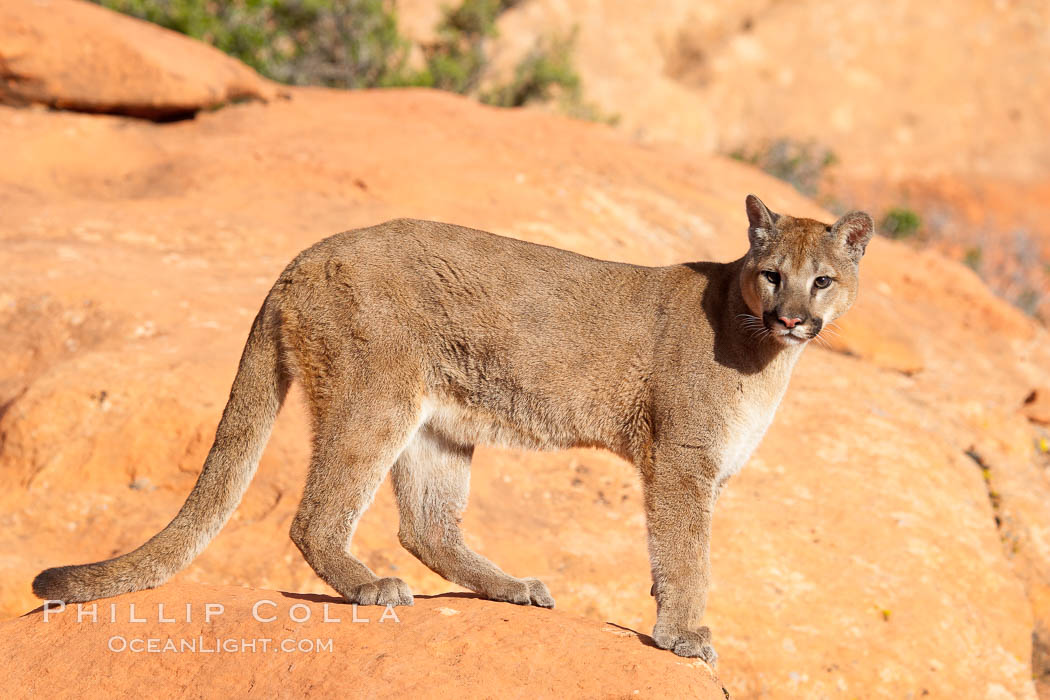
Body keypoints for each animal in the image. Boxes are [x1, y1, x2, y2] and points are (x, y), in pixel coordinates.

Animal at [32, 194, 873, 667]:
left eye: (822, 279)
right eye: (772, 274)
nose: (792, 316)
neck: (761, 350)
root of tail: (304, 255)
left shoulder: (702, 471)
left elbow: (681, 557)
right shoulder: (682, 463)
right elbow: (687, 558)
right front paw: (684, 636)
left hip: (438, 424)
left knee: (427, 527)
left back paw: (512, 588)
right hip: (376, 398)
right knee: (318, 515)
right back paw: (370, 588)